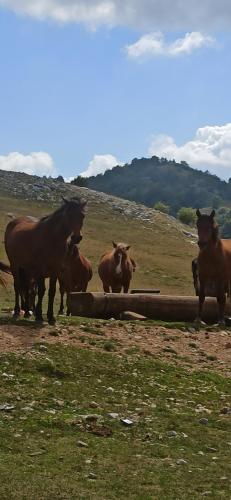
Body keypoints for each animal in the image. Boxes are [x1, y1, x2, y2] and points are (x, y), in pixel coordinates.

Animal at [4, 195, 86, 324]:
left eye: (82, 215)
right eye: (69, 214)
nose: (76, 237)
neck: (52, 238)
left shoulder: (55, 270)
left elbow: (51, 292)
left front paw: (50, 317)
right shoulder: (40, 270)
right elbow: (42, 291)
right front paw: (39, 316)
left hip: (26, 269)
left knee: (26, 288)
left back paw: (26, 312)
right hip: (15, 265)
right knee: (18, 286)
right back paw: (17, 311)